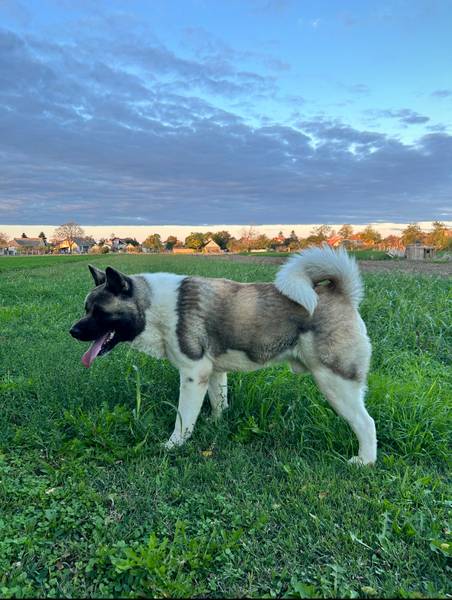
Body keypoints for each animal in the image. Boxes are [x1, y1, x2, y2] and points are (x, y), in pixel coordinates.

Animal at [69, 244, 374, 464]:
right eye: (86, 309)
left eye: (99, 312)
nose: (72, 331)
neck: (153, 306)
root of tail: (342, 293)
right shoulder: (213, 371)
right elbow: (218, 402)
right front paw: (216, 424)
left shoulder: (193, 374)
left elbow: (183, 418)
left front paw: (173, 445)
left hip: (334, 382)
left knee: (366, 423)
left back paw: (364, 462)